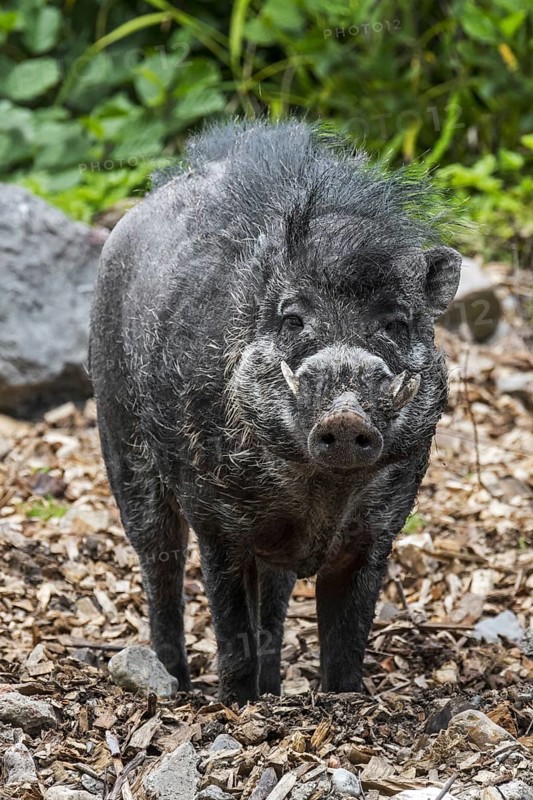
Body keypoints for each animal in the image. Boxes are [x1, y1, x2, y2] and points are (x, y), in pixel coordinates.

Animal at [89, 120, 461, 706]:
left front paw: (341, 698)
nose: (346, 417)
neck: (320, 494)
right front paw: (235, 704)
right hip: (120, 438)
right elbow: (230, 628)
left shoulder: (379, 530)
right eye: (292, 319)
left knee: (275, 597)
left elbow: (345, 642)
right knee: (159, 563)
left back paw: (272, 689)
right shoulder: (217, 523)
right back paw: (176, 685)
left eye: (396, 323)